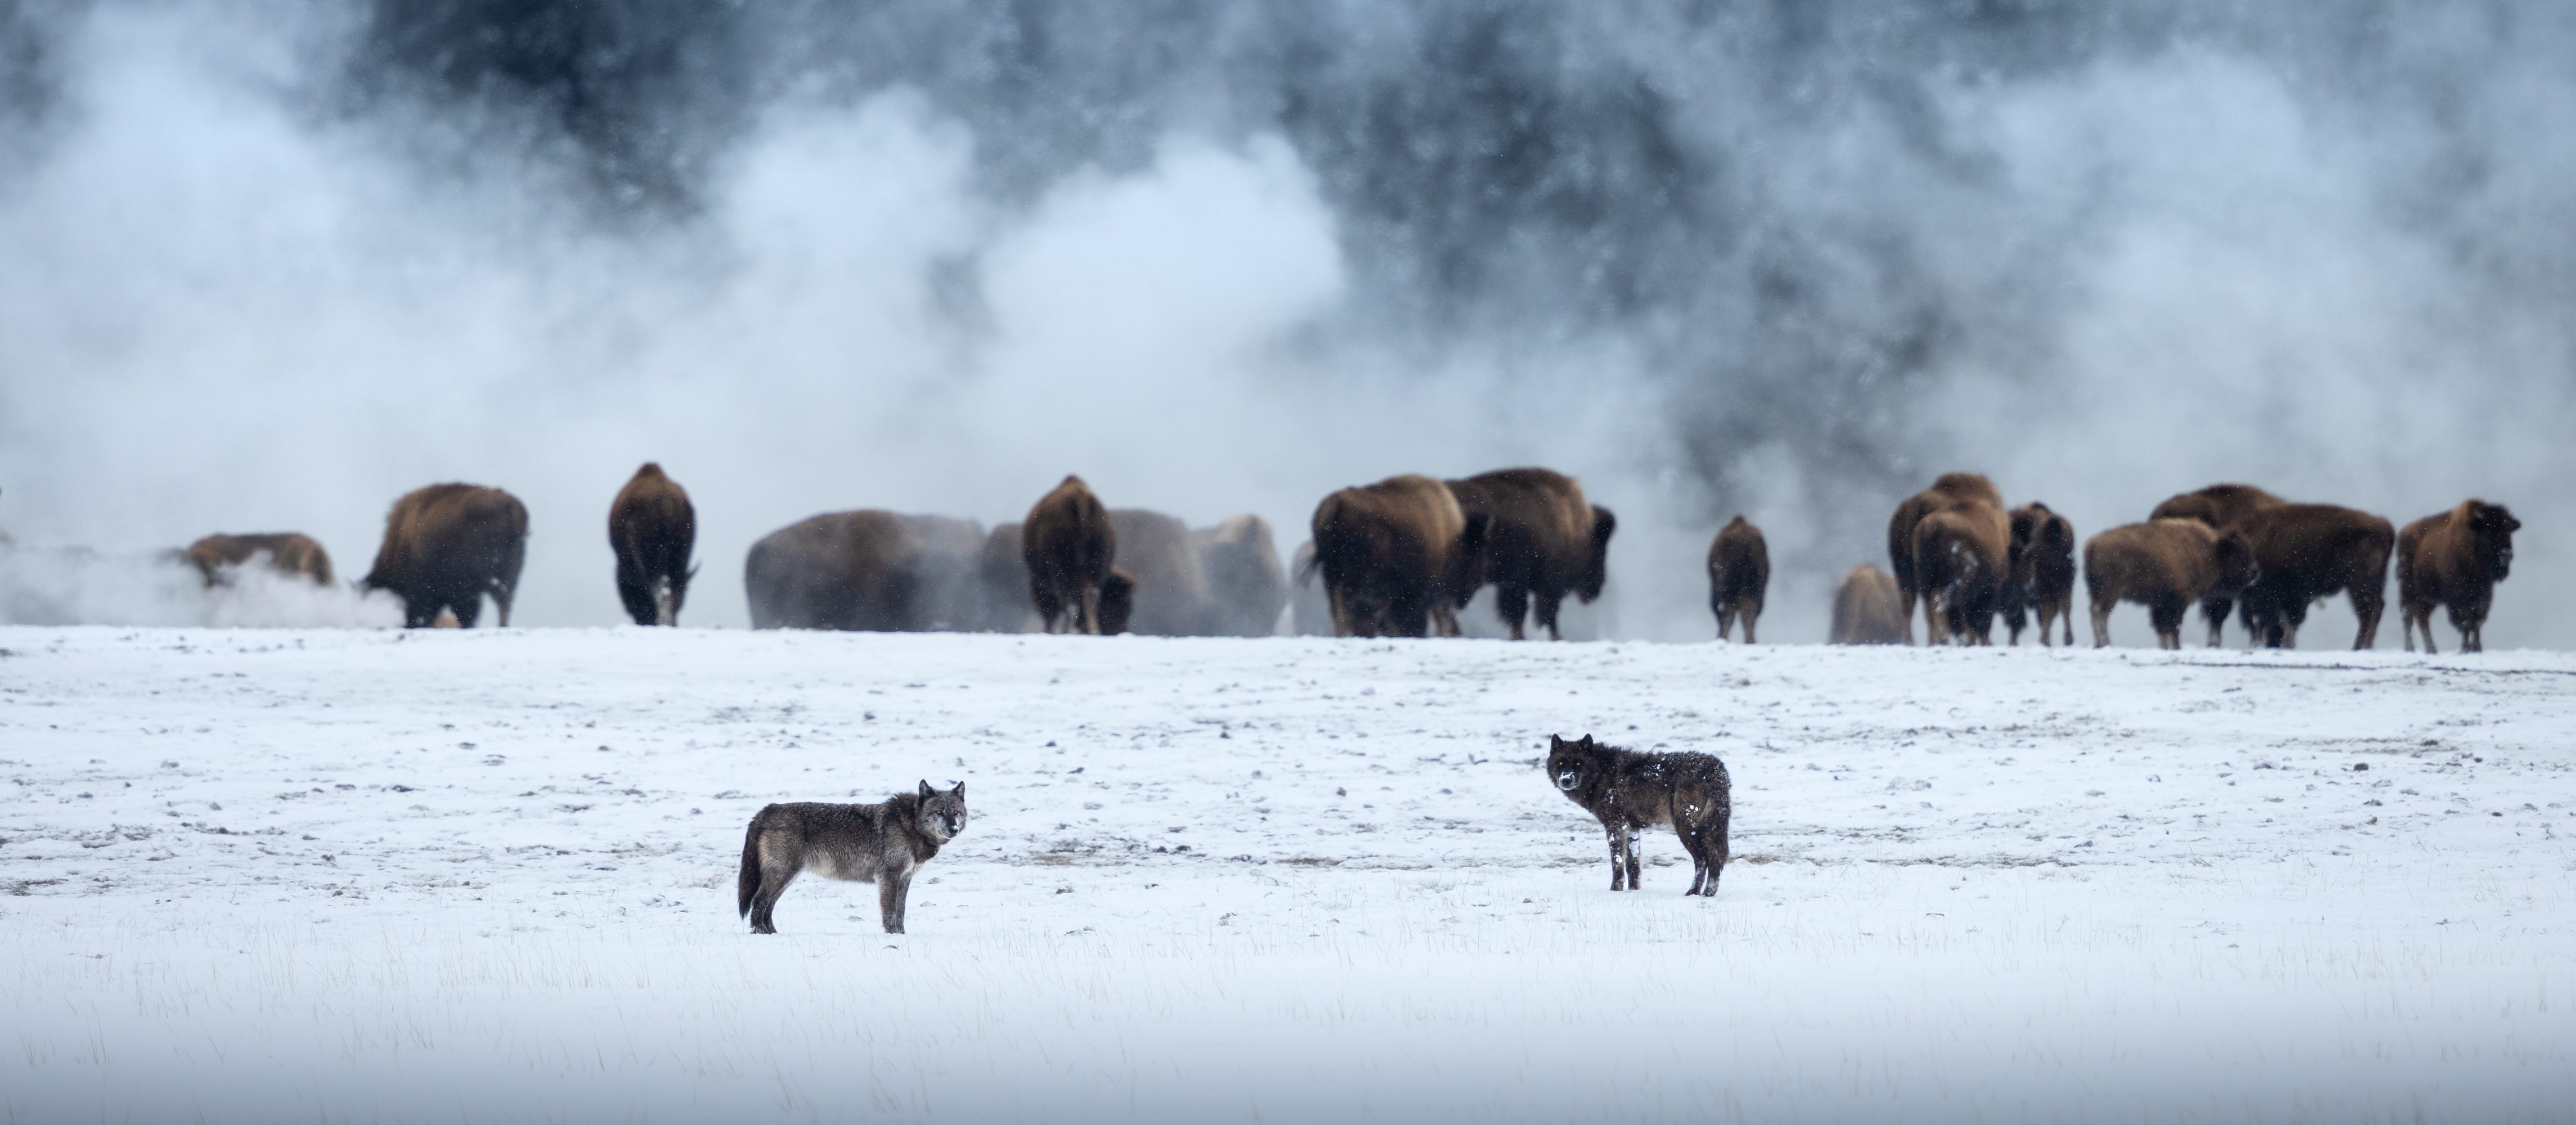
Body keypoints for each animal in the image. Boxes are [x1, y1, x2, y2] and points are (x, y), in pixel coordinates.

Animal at [737, 781, 967, 934]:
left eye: (956, 812)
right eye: (939, 812)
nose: (953, 829)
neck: (910, 824)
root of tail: (767, 810)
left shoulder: (904, 878)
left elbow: (900, 913)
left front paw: (902, 937)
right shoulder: (889, 877)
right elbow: (891, 914)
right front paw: (892, 937)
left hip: (787, 878)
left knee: (768, 907)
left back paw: (773, 935)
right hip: (783, 875)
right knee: (759, 902)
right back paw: (760, 935)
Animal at [1443, 468, 1614, 641]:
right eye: (1600, 548)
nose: (1597, 588)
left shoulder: (1514, 584)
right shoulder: (1543, 585)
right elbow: (1538, 614)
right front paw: (1553, 637)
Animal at [1545, 734, 1730, 896]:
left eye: (1578, 763)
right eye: (1561, 762)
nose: (1566, 780)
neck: (1601, 773)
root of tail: (1715, 770)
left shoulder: (1615, 826)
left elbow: (1618, 863)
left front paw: (1615, 891)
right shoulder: (1632, 829)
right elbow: (1633, 866)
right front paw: (1634, 891)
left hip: (1686, 829)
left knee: (1703, 860)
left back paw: (1693, 893)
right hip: (1713, 828)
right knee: (1717, 859)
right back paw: (1709, 893)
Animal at [2397, 500, 2521, 653]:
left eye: (2508, 530)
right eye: (2488, 532)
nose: (2507, 555)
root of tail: (2403, 533)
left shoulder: (2483, 596)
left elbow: (2477, 621)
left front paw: (2477, 649)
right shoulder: (2459, 597)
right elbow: (2465, 622)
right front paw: (2465, 649)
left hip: (2428, 597)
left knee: (2422, 616)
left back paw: (2432, 650)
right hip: (2409, 589)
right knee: (2408, 615)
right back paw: (2411, 648)